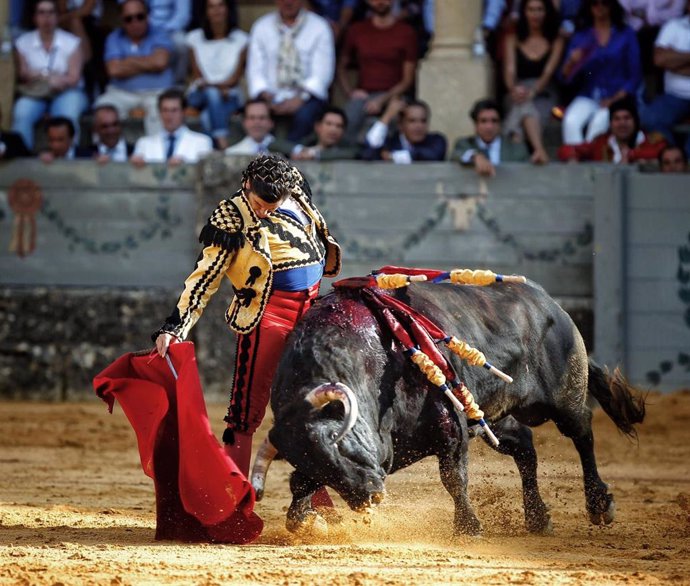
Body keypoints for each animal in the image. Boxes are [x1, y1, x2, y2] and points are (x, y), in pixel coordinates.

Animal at [254, 278, 644, 532]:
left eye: (343, 446)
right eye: (317, 464)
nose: (371, 497)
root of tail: (551, 303)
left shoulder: (451, 425)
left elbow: (453, 478)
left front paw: (468, 527)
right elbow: (299, 483)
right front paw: (302, 520)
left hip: (563, 398)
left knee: (583, 435)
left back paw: (599, 504)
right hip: (491, 416)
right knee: (524, 448)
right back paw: (537, 517)